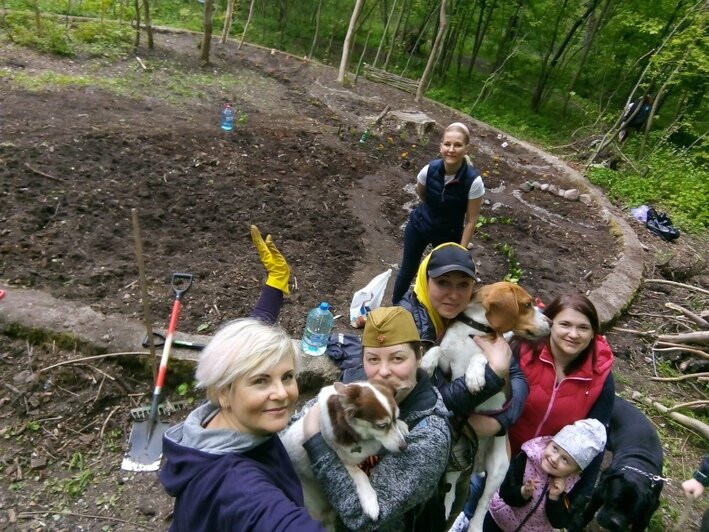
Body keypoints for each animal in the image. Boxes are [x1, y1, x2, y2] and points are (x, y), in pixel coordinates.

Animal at [280, 382, 406, 528]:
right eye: (381, 425)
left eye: (396, 418)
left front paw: (402, 426)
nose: (404, 446)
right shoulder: (346, 462)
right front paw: (369, 500)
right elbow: (360, 474)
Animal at [420, 280, 548, 528]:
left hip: (499, 467)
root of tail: (478, 464)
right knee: (451, 487)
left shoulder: (500, 372)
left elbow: (479, 358)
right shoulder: (447, 365)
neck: (475, 330)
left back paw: (475, 526)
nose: (551, 323)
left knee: (482, 503)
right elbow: (437, 349)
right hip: (456, 454)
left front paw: (474, 377)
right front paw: (426, 363)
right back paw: (446, 509)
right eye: (527, 305)